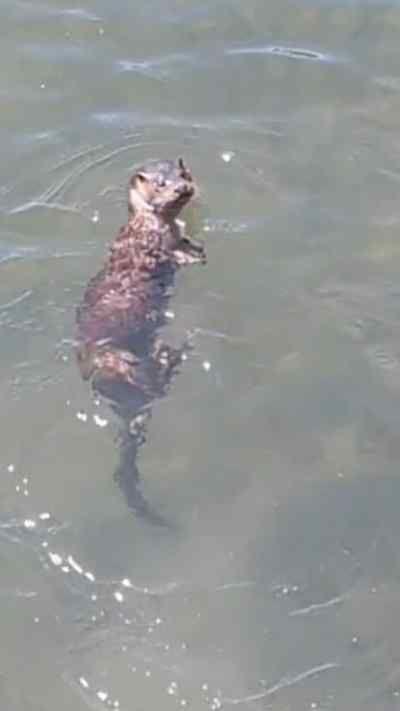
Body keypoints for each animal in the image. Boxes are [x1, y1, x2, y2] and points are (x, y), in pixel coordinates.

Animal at [76, 158, 205, 524]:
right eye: (161, 183)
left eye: (183, 175)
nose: (183, 188)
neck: (150, 225)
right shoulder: (150, 245)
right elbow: (171, 257)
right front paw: (192, 257)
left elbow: (186, 243)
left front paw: (197, 248)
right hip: (115, 360)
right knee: (149, 384)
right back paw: (171, 356)